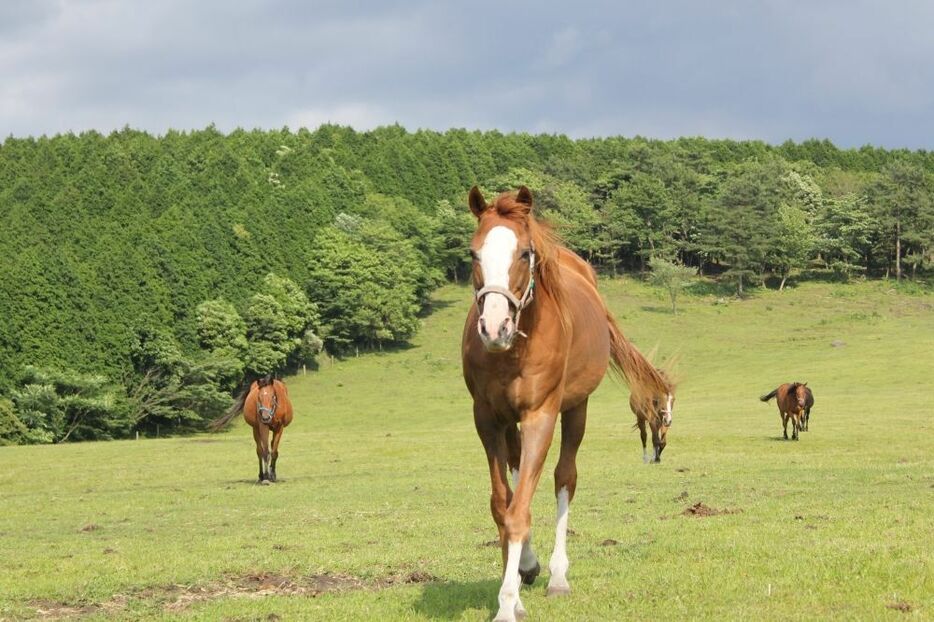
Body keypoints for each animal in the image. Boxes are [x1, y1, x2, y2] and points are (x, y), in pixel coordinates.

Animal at [462, 186, 672, 622]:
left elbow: (521, 509)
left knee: (564, 478)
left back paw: (557, 576)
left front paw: (506, 604)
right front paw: (517, 583)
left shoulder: (540, 415)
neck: (514, 349)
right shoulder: (487, 420)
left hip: (576, 410)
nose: (494, 328)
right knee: (518, 476)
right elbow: (503, 505)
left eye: (524, 253)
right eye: (474, 253)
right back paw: (527, 567)